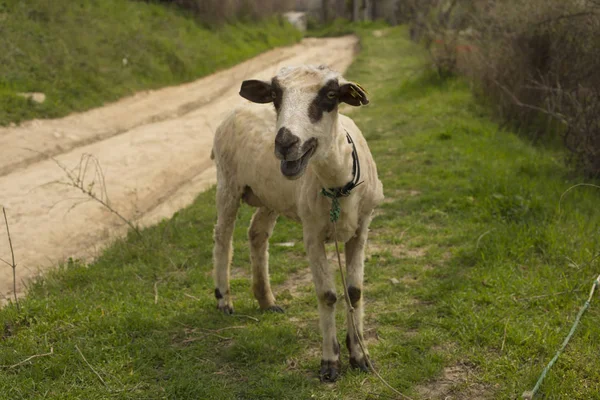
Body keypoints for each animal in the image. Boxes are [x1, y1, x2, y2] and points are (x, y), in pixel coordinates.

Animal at [211, 65, 384, 382]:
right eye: (275, 96)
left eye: (331, 95)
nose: (284, 143)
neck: (338, 183)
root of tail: (236, 108)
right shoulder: (312, 233)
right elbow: (327, 295)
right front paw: (330, 362)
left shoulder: (362, 227)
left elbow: (355, 292)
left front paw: (360, 356)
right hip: (227, 182)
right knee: (222, 237)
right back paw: (224, 300)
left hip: (270, 196)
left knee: (256, 233)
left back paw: (266, 300)